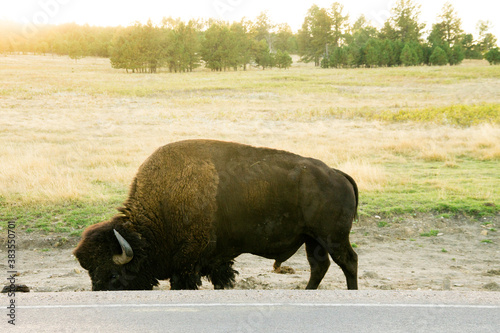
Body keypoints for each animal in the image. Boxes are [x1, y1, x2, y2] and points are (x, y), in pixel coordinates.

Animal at [72, 139, 358, 290]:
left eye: (112, 274)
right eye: (90, 272)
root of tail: (337, 173)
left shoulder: (188, 262)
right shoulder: (214, 260)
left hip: (332, 237)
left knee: (348, 262)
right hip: (312, 239)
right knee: (320, 266)